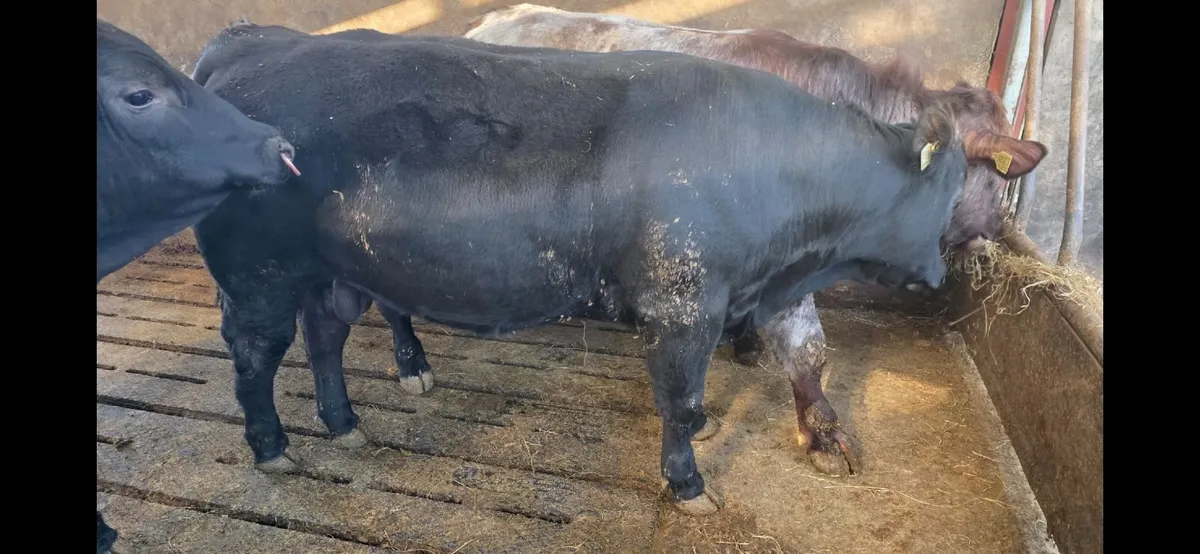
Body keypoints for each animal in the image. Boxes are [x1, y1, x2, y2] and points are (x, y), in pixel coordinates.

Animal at [189, 21, 1006, 516]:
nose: (943, 274)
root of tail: (255, 39)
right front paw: (688, 484)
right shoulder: (681, 306)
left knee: (324, 336)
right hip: (257, 274)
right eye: (955, 185)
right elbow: (682, 403)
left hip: (335, 272)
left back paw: (343, 423)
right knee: (255, 355)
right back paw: (271, 446)